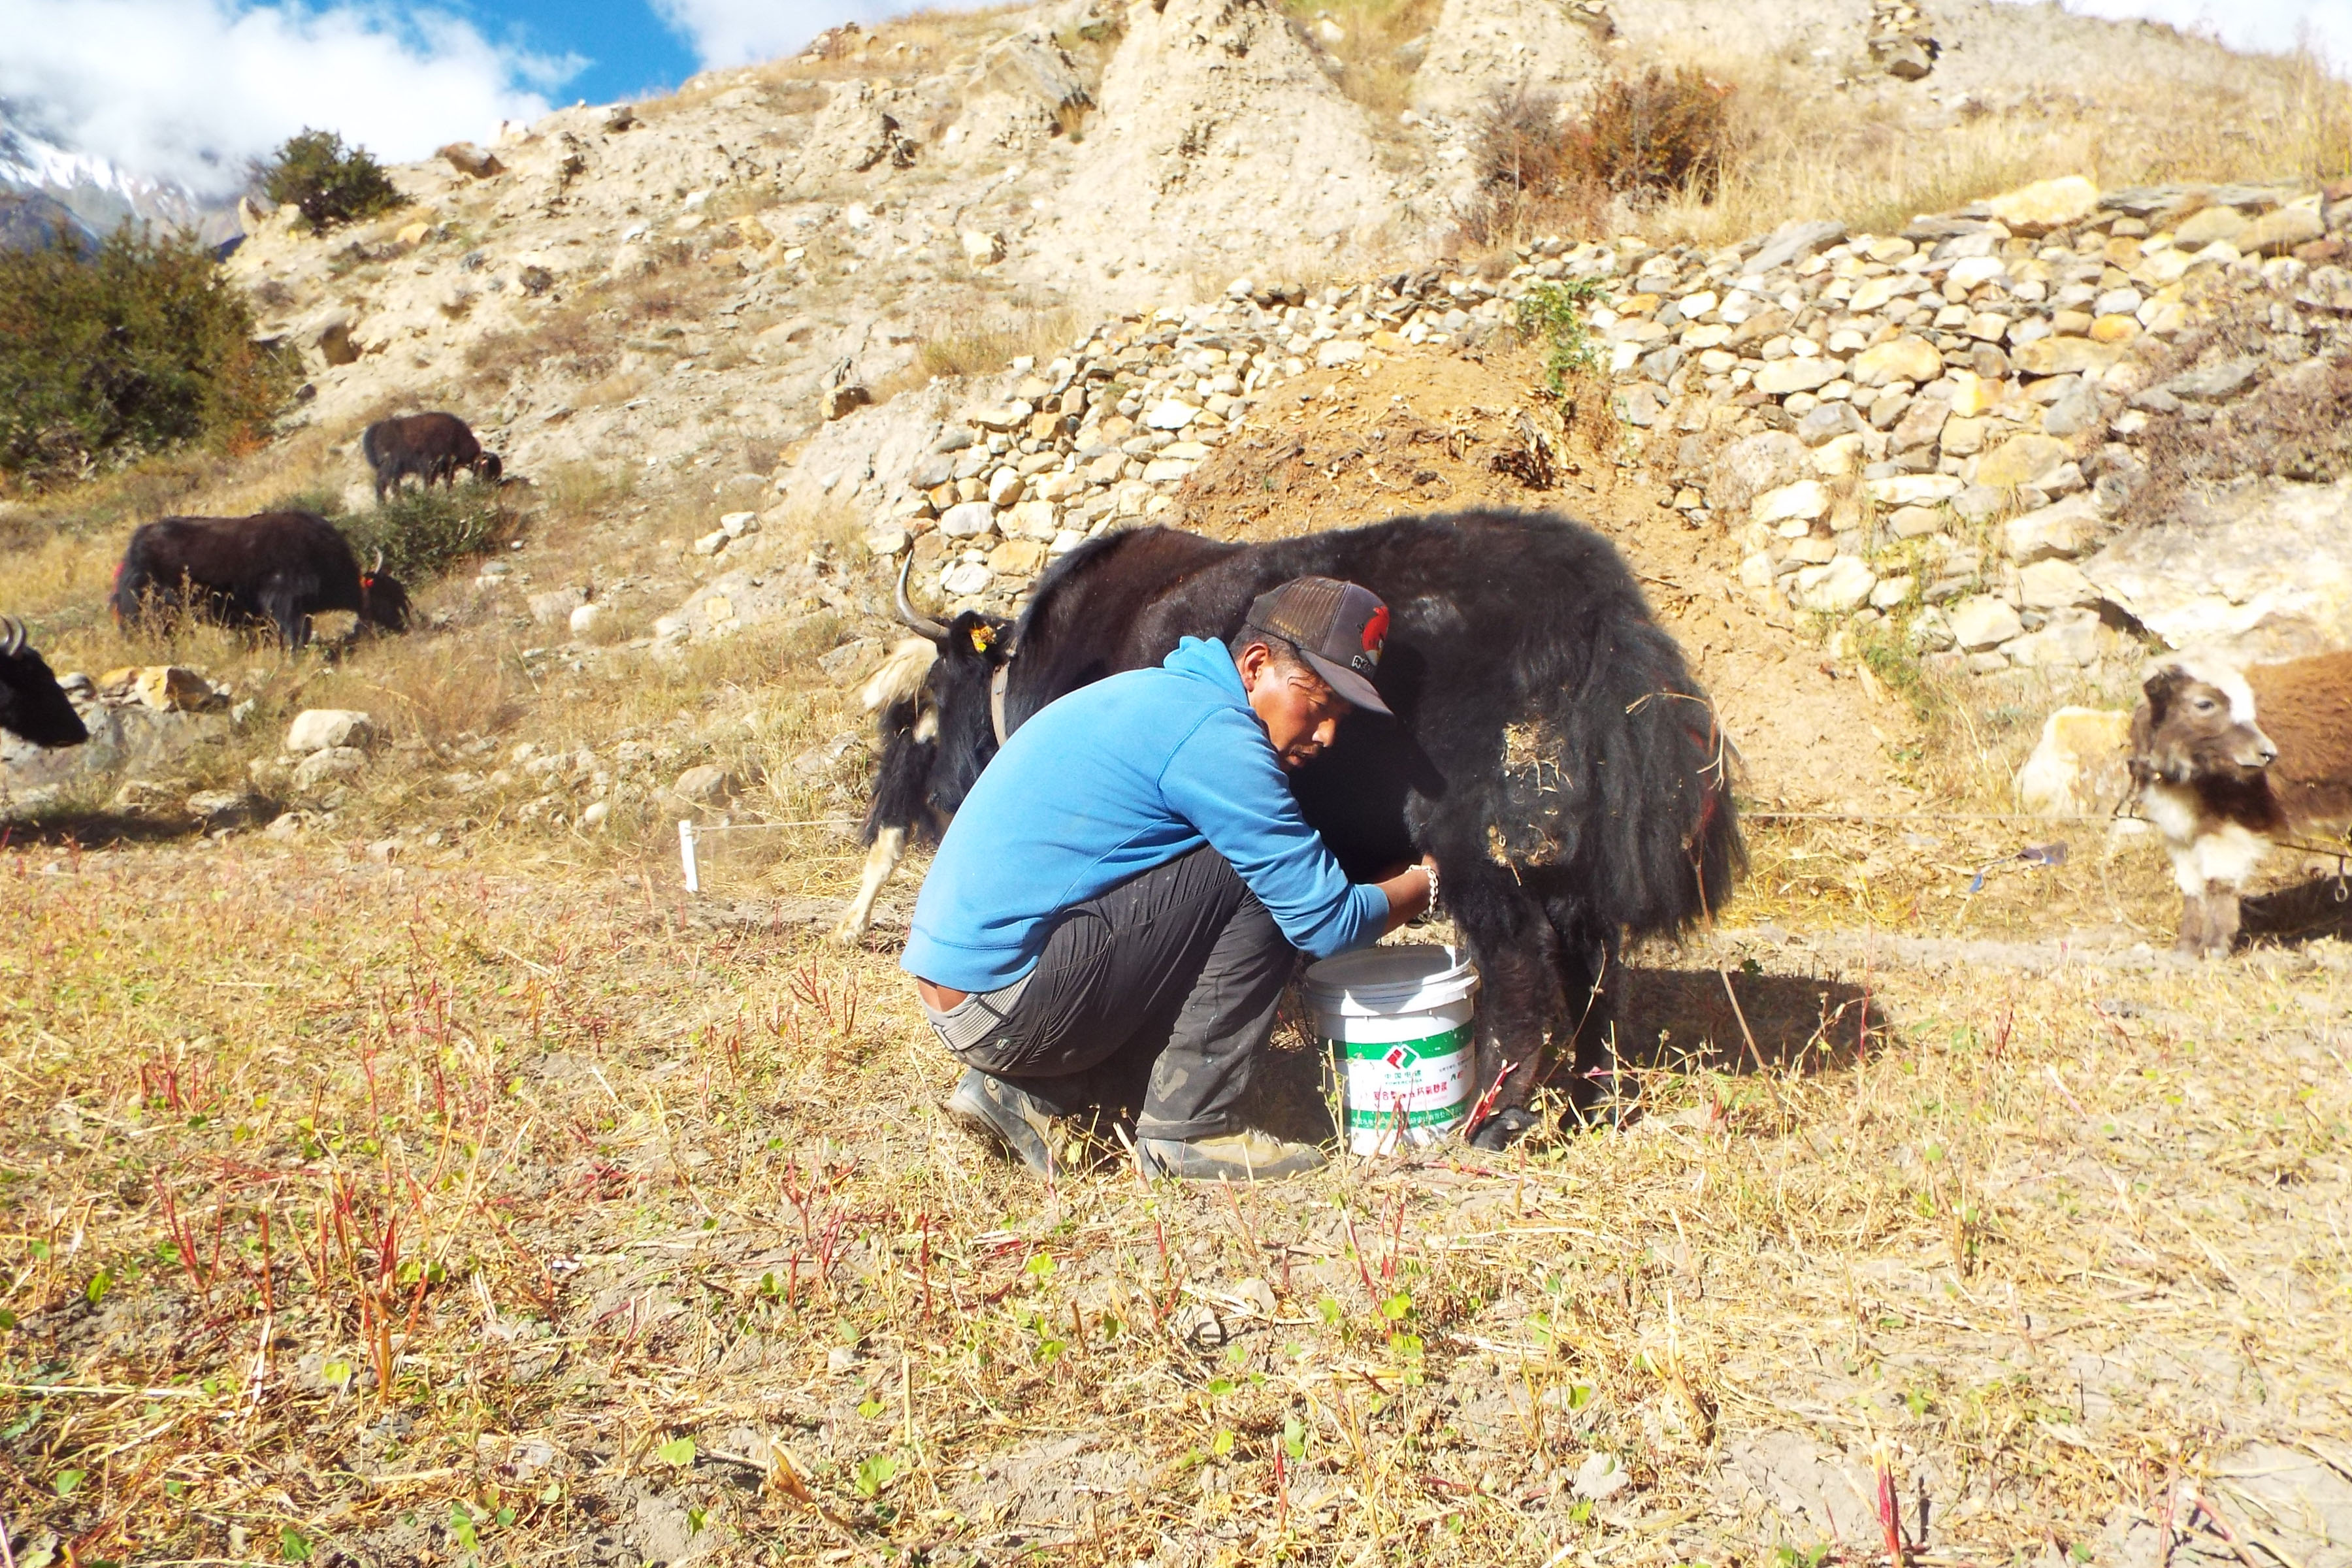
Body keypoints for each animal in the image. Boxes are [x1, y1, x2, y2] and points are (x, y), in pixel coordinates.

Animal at [2135, 653, 2352, 959]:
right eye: (2204, 704)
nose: (2267, 753)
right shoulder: (2179, 831)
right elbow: (2192, 887)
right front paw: (2186, 949)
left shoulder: (2231, 826)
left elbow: (2219, 882)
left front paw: (2214, 947)